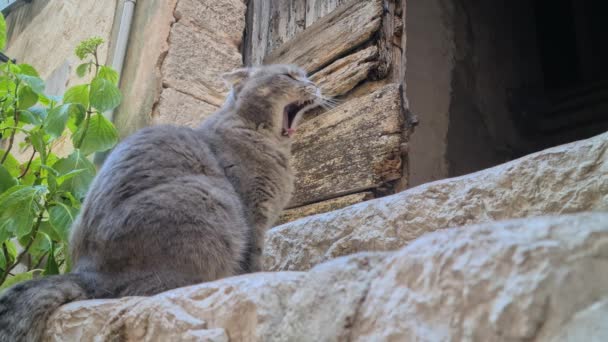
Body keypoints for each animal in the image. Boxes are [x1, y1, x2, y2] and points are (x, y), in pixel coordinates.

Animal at [0, 65, 320, 342]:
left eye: (304, 75)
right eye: (290, 75)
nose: (315, 83)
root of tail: (87, 272)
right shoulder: (253, 211)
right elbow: (254, 257)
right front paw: (259, 275)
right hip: (210, 195)